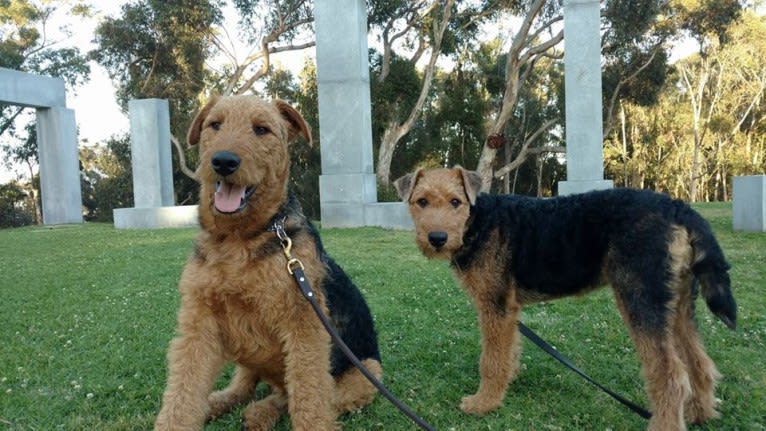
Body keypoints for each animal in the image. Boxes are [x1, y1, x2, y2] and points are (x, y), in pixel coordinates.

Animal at [156, 96, 384, 430]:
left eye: (261, 129)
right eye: (215, 124)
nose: (223, 162)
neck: (239, 239)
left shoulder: (304, 323)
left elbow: (309, 395)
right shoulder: (199, 320)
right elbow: (183, 390)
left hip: (367, 372)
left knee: (294, 396)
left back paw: (259, 412)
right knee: (247, 385)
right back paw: (219, 402)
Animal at [396, 166, 736, 431]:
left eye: (455, 201)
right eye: (421, 201)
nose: (437, 239)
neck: (477, 221)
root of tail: (679, 207)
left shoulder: (495, 305)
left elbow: (490, 360)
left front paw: (483, 402)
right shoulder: (509, 310)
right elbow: (507, 352)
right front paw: (508, 381)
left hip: (641, 301)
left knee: (671, 375)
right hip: (678, 304)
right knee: (700, 363)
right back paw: (700, 413)